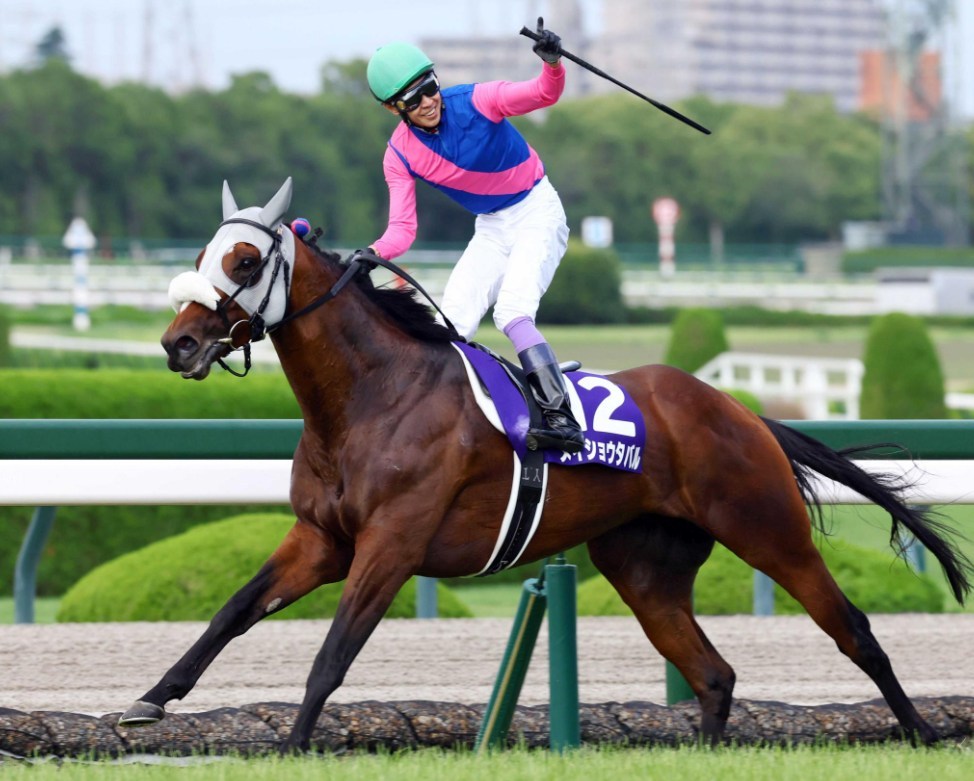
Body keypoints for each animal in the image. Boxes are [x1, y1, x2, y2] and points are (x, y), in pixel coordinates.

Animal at [120, 178, 972, 751]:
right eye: (199, 255)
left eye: (244, 258)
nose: (178, 342)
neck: (370, 395)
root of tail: (741, 411)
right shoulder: (321, 538)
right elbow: (233, 610)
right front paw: (150, 700)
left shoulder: (391, 542)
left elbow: (332, 653)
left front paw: (295, 745)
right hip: (643, 566)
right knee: (714, 672)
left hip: (768, 529)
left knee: (854, 630)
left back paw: (922, 732)